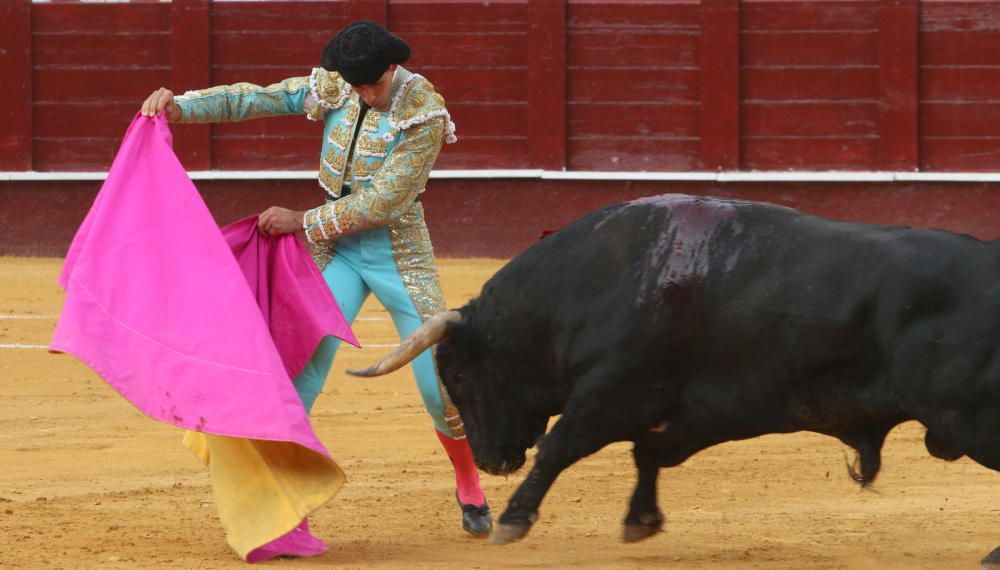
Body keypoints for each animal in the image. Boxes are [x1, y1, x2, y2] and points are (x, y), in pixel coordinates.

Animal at [350, 194, 992, 564]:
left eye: (461, 374)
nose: (490, 460)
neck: (590, 284)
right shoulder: (672, 408)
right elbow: (646, 455)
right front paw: (641, 522)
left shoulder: (607, 394)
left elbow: (561, 447)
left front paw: (511, 521)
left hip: (969, 415)